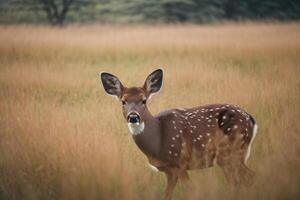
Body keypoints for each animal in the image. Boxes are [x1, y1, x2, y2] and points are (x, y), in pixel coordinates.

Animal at [99, 69, 258, 200]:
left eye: (144, 100)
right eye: (123, 101)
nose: (133, 117)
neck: (158, 139)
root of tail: (251, 119)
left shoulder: (179, 162)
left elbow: (191, 190)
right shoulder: (169, 171)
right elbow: (167, 195)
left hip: (230, 152)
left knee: (242, 180)